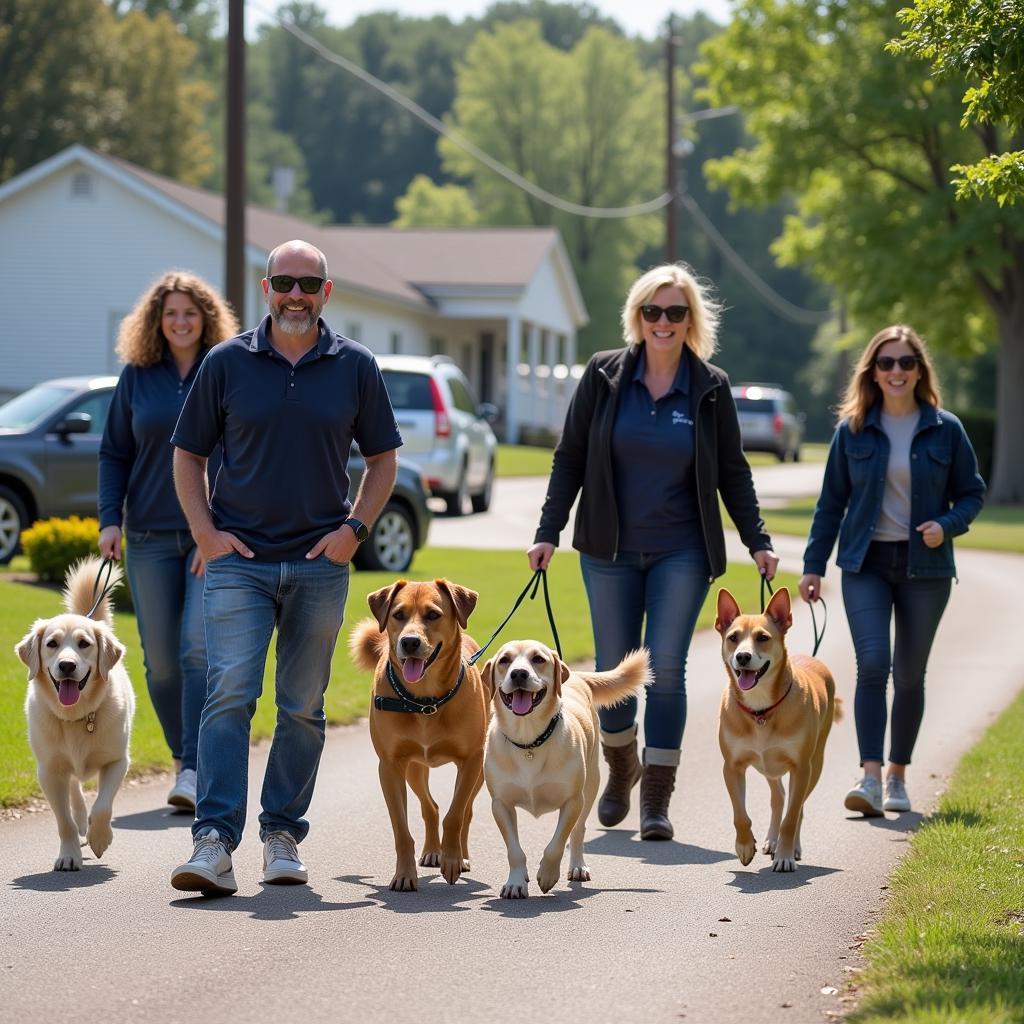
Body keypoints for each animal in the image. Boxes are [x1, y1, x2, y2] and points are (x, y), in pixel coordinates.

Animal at [348, 581, 491, 892]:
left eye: (433, 614)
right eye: (398, 615)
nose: (410, 642)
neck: (425, 700)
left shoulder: (471, 760)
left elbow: (456, 815)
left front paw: (453, 860)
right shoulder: (390, 766)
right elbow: (401, 828)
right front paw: (404, 874)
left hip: (481, 771)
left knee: (465, 811)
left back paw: (459, 855)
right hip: (414, 769)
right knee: (431, 807)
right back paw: (433, 851)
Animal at [716, 585, 843, 872]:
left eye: (762, 637)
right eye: (733, 637)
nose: (742, 656)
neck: (761, 708)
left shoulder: (801, 767)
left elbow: (792, 816)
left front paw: (785, 855)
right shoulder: (732, 767)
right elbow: (740, 814)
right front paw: (744, 845)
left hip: (815, 762)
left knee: (797, 805)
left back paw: (790, 846)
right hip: (768, 766)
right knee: (779, 796)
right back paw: (771, 840)